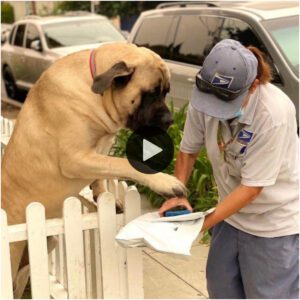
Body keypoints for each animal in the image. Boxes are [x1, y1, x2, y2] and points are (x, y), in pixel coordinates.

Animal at [1, 41, 186, 296]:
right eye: (150, 94)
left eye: (166, 91)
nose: (169, 120)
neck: (98, 93)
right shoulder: (75, 158)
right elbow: (123, 163)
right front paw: (164, 181)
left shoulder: (100, 148)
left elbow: (104, 171)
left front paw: (103, 196)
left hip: (37, 255)